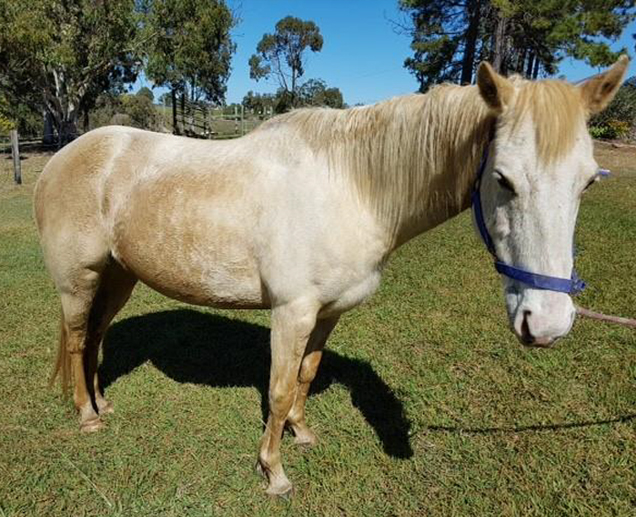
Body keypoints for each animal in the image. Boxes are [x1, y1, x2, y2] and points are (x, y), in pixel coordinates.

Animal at [33, 57, 628, 496]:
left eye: (588, 182)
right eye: (502, 179)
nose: (547, 323)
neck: (352, 186)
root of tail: (62, 157)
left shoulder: (327, 312)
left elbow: (306, 375)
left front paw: (301, 433)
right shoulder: (291, 312)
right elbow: (276, 390)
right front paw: (273, 473)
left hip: (119, 276)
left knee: (96, 338)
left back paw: (103, 403)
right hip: (79, 280)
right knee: (79, 338)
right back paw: (88, 417)